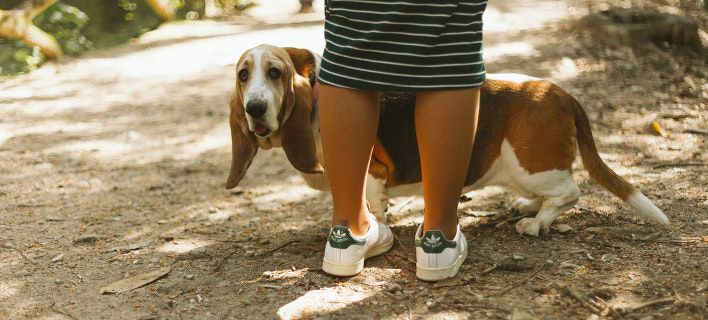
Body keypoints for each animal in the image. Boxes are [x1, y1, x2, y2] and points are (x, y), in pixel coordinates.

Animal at [227, 43, 668, 236]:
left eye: (275, 73)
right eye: (243, 75)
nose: (254, 109)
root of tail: (561, 93)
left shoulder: (372, 175)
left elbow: (371, 207)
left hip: (529, 165)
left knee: (570, 191)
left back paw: (537, 223)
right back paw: (528, 207)